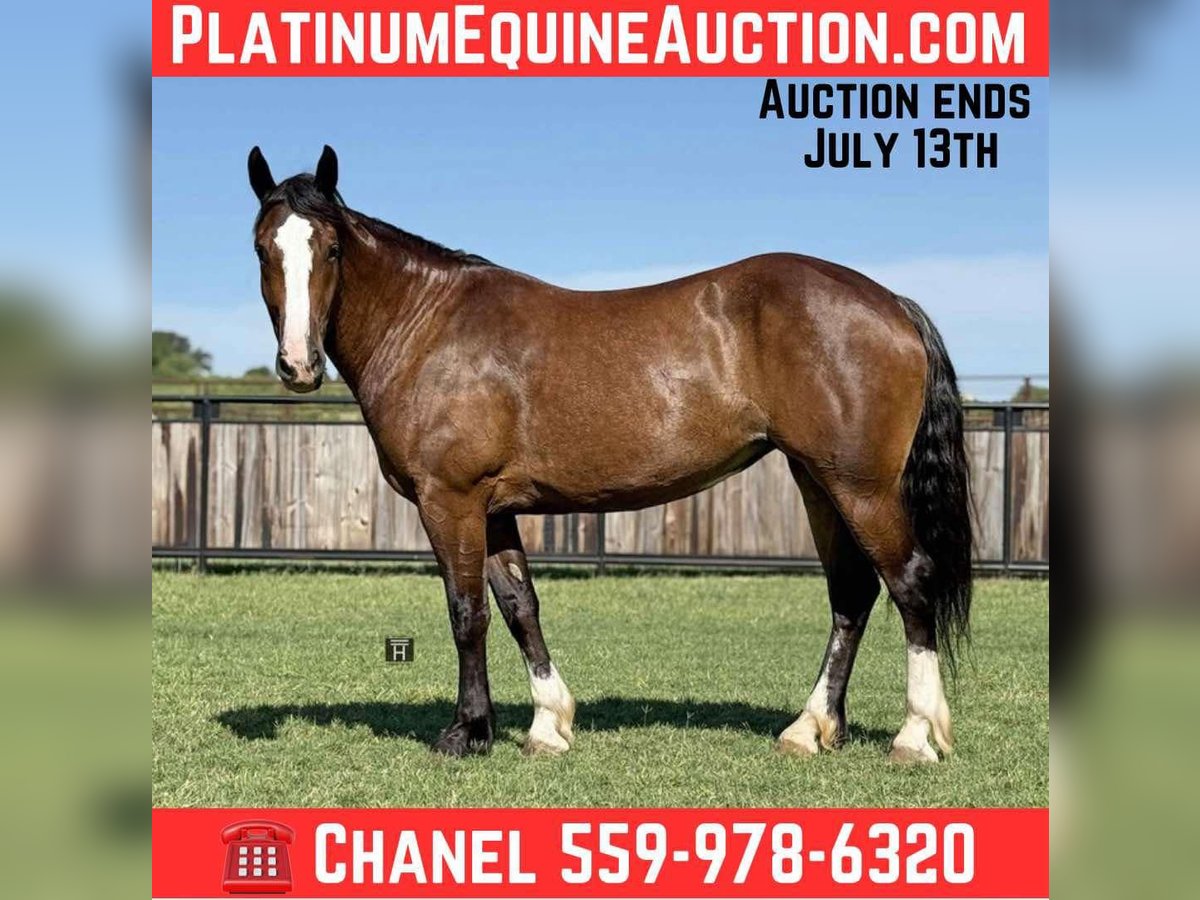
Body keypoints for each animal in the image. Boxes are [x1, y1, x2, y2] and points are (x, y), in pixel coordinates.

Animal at [246, 145, 972, 764]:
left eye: (331, 248)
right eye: (261, 249)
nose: (298, 365)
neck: (427, 324)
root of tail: (892, 303)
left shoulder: (450, 500)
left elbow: (466, 612)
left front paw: (467, 732)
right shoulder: (494, 508)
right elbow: (519, 606)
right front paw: (547, 725)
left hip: (861, 487)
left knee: (909, 582)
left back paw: (915, 736)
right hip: (816, 480)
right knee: (851, 591)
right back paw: (810, 728)